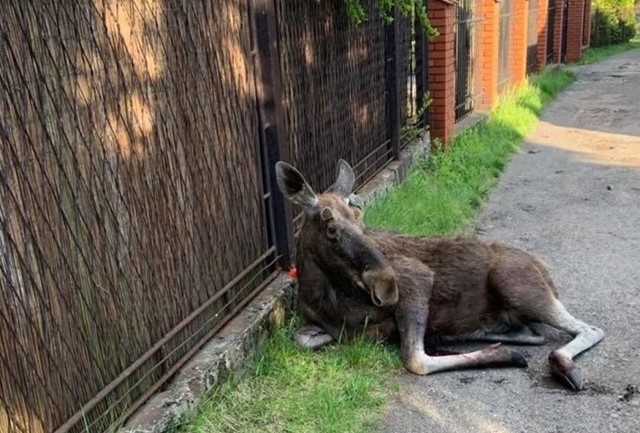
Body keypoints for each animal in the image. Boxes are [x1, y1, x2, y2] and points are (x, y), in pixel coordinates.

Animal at [276, 159, 604, 392]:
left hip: (514, 284)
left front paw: (503, 357)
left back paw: (562, 366)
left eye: (361, 219)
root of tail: (545, 272)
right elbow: (302, 338)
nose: (386, 287)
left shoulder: (416, 278)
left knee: (589, 329)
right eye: (331, 229)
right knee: (533, 334)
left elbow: (416, 360)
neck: (325, 297)